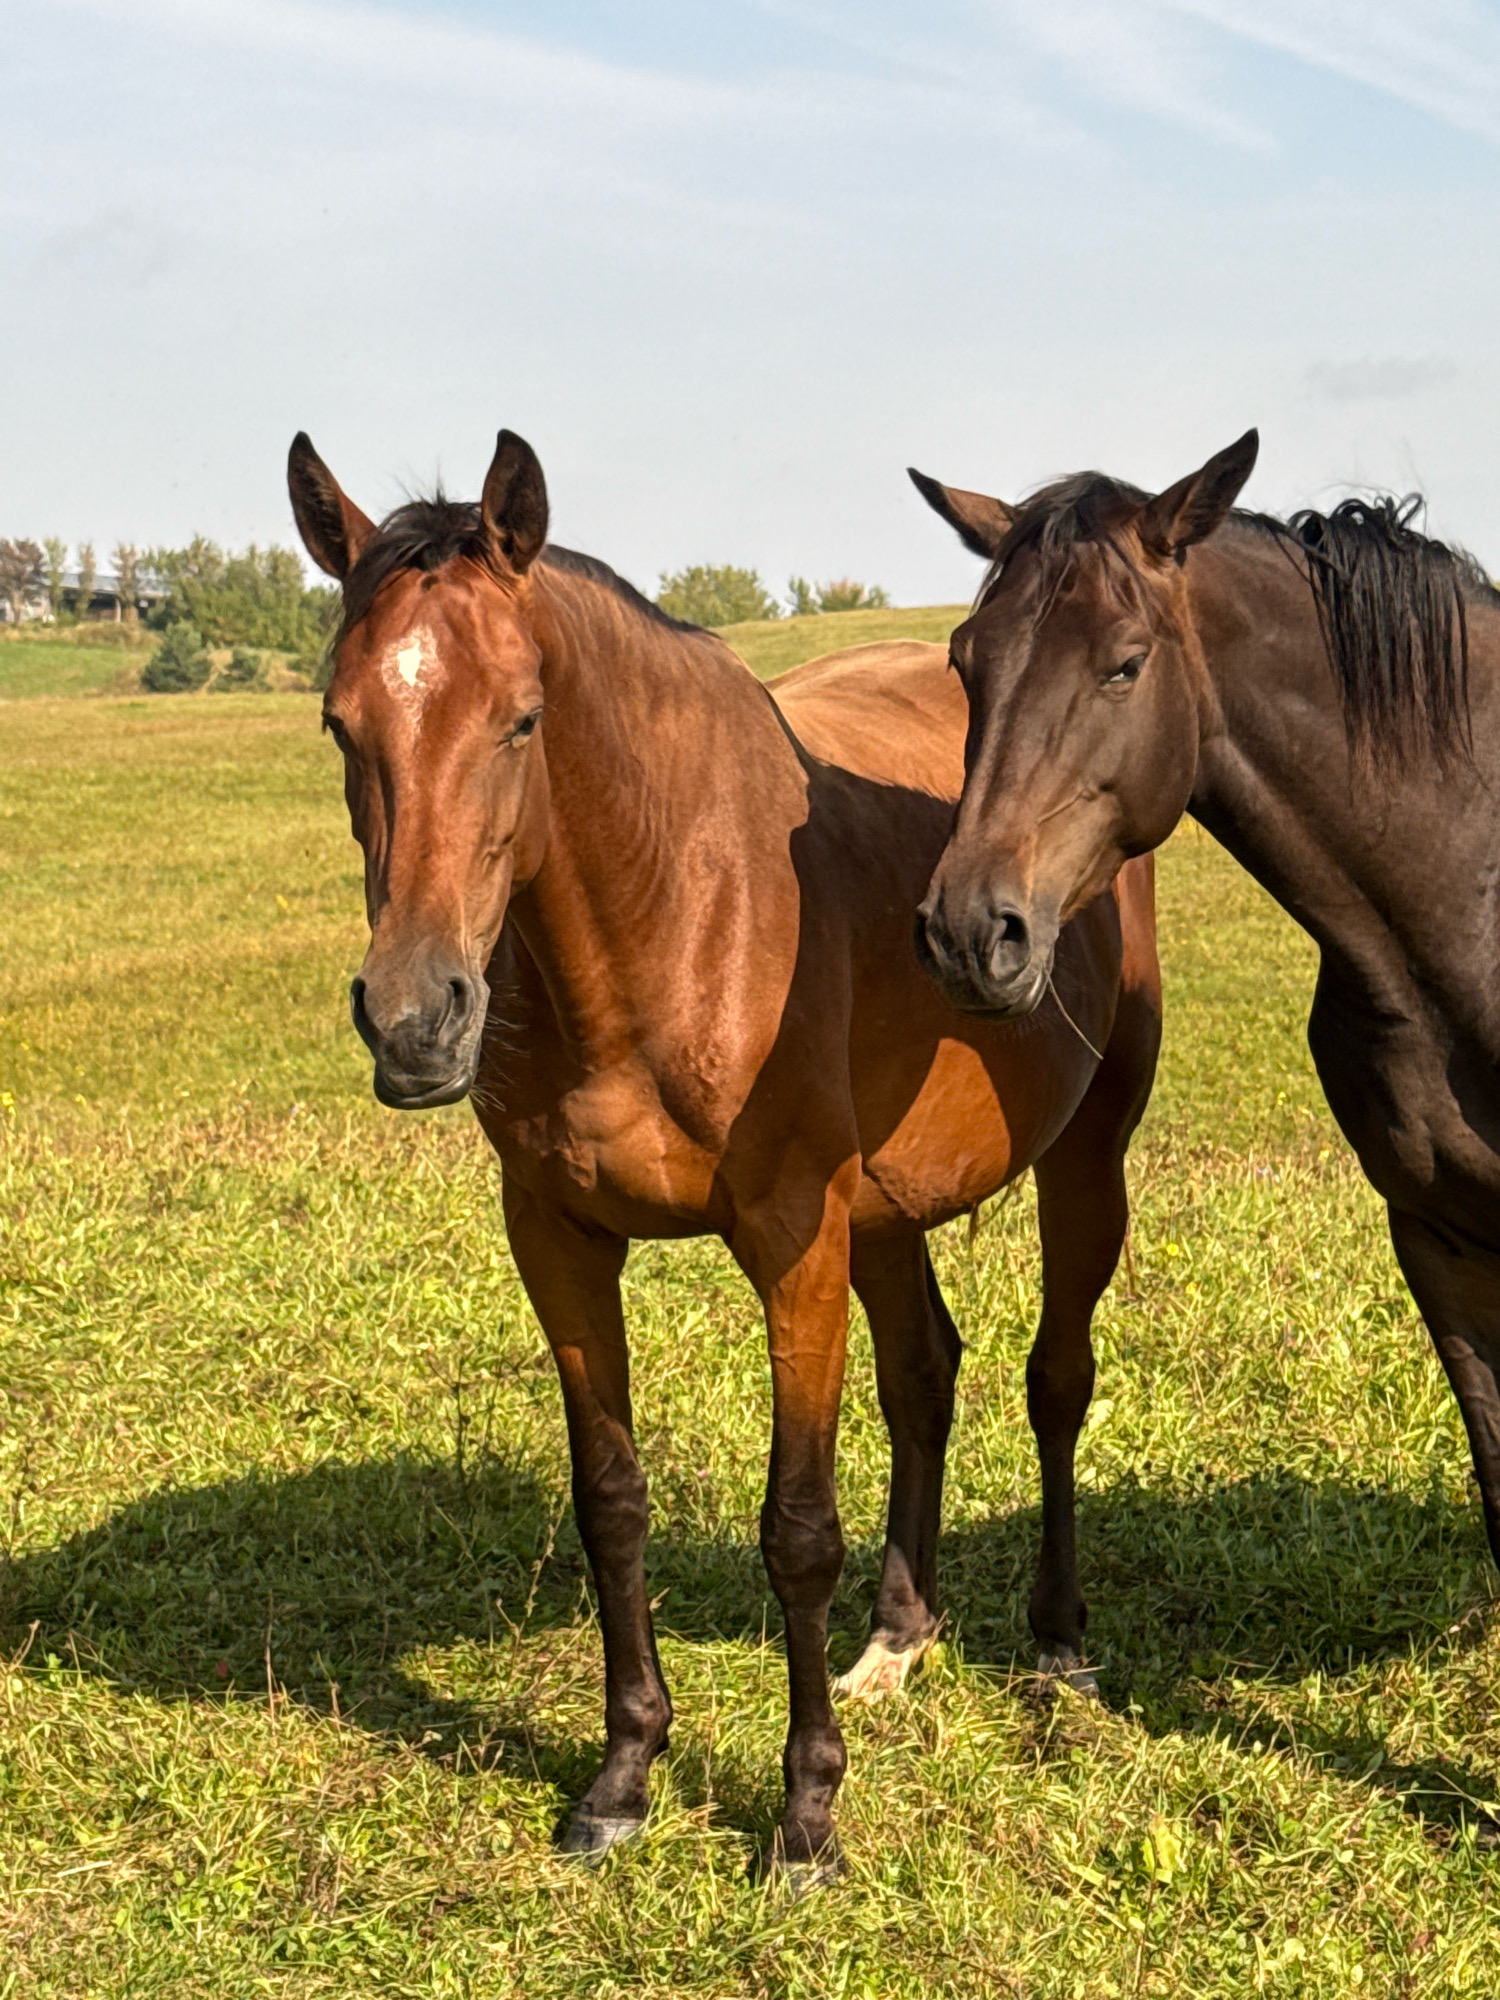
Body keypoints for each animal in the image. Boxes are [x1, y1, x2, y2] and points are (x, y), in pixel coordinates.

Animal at [287, 425, 1162, 1877]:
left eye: (522, 717)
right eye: (340, 722)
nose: (415, 1019)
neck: (668, 913)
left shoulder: (793, 1237)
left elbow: (796, 1528)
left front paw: (806, 1812)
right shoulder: (560, 1240)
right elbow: (610, 1502)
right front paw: (623, 1774)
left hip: (1083, 1155)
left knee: (1057, 1379)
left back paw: (1060, 1639)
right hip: (887, 1207)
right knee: (925, 1375)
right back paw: (897, 1640)